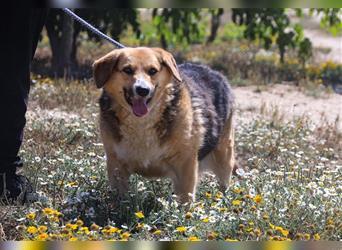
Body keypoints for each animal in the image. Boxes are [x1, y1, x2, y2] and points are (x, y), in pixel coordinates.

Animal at [92, 47, 234, 203]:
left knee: (224, 182)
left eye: (153, 71)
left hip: (224, 156)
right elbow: (119, 199)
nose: (143, 90)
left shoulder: (185, 165)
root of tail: (214, 72)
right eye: (127, 70)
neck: (142, 122)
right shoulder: (116, 165)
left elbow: (185, 201)